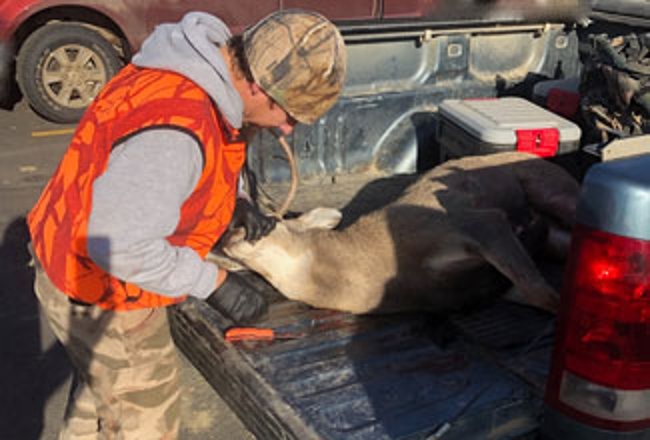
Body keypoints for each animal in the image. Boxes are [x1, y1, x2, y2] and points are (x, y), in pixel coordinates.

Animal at [218, 153, 576, 314]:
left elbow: (543, 293)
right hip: (557, 238)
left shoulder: (474, 222)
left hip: (554, 189)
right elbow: (536, 291)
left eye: (270, 221)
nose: (226, 234)